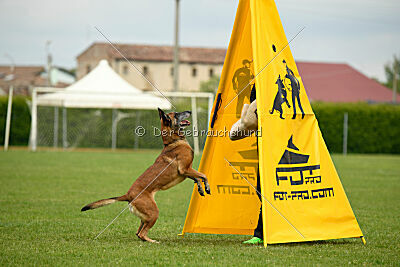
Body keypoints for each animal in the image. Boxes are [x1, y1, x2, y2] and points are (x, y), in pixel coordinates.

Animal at [82, 109, 211, 245]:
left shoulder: (186, 172)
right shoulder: (185, 169)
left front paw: (201, 189)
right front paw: (207, 187)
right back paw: (153, 241)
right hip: (154, 213)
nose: (189, 111)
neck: (173, 142)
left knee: (138, 232)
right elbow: (203, 175)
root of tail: (128, 195)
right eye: (176, 114)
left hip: (145, 217)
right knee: (142, 233)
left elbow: (197, 178)